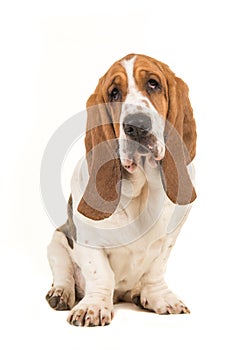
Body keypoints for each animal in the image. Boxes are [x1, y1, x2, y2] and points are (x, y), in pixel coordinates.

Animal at [46, 53, 197, 326]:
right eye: (114, 93)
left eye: (153, 84)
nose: (136, 126)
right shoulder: (87, 237)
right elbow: (100, 273)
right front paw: (93, 307)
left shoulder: (171, 236)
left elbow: (156, 269)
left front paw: (160, 297)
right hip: (56, 241)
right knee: (64, 271)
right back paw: (61, 293)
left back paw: (138, 294)